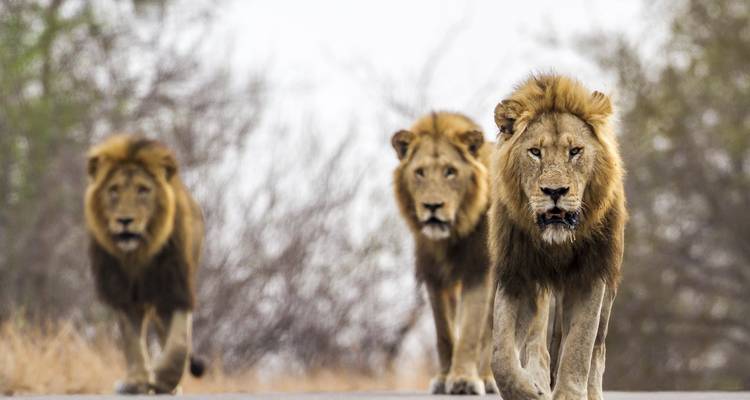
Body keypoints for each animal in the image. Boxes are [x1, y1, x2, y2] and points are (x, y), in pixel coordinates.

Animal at [84, 134, 205, 394]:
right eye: (114, 190)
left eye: (143, 190)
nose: (125, 220)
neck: (139, 255)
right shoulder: (122, 291)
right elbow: (132, 340)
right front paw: (136, 382)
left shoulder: (175, 288)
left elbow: (179, 341)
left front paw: (164, 379)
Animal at [391, 112, 498, 395]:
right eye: (419, 172)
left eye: (451, 172)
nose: (432, 206)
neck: (452, 236)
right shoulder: (435, 276)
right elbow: (445, 333)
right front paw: (443, 378)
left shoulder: (479, 271)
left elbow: (471, 332)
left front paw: (463, 380)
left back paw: (489, 378)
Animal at [488, 74, 627, 400]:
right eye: (535, 152)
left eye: (574, 151)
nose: (555, 191)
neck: (557, 244)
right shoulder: (516, 274)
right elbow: (501, 356)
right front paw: (527, 391)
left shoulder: (592, 274)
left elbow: (579, 345)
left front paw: (569, 394)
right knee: (537, 342)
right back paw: (538, 380)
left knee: (597, 348)